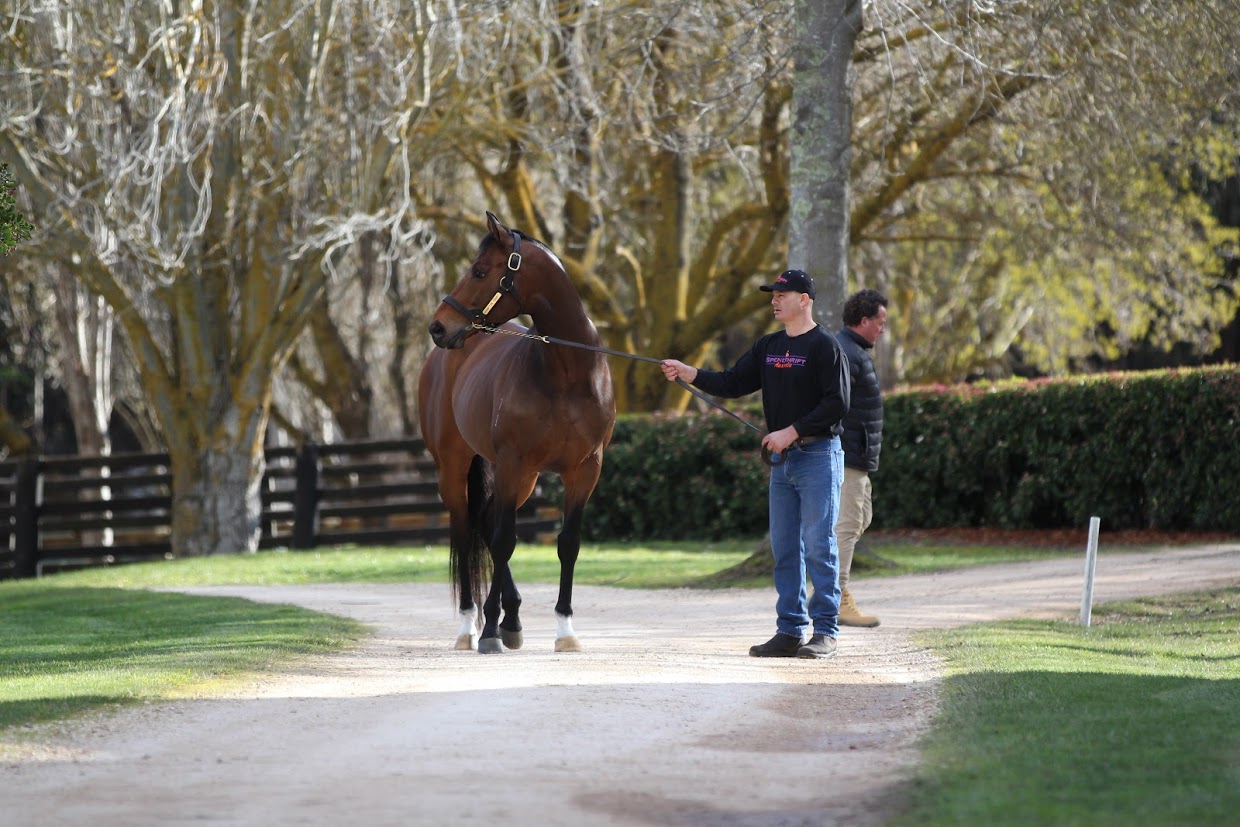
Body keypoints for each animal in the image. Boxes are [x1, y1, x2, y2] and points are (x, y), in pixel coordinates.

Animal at [416, 212, 615, 654]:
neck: (567, 373)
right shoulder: (513, 461)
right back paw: (471, 625)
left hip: (522, 479)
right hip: (457, 470)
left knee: (487, 527)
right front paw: (489, 630)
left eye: (479, 271)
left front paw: (565, 631)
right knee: (469, 531)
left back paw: (512, 619)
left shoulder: (584, 471)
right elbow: (505, 540)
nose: (438, 327)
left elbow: (568, 544)